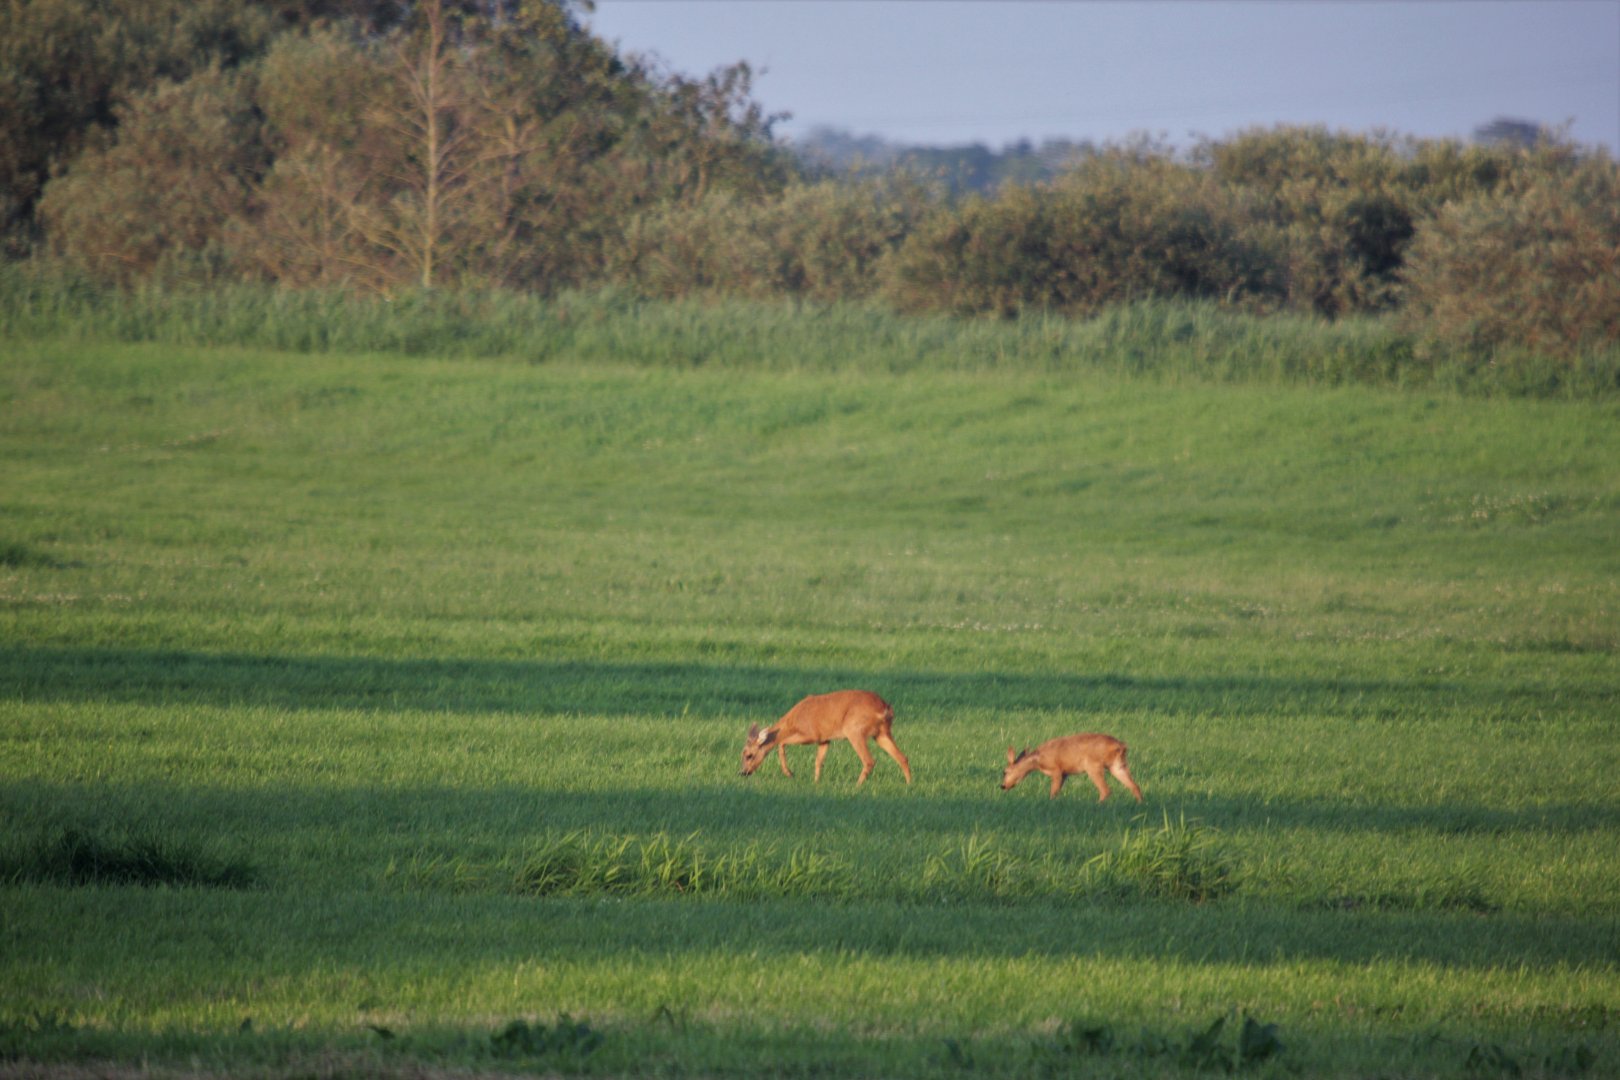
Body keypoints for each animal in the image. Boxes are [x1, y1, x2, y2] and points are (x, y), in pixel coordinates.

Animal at [740, 689, 912, 786]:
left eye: (749, 755)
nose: (742, 772)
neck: (793, 721)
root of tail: (885, 708)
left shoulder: (811, 734)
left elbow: (781, 742)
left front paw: (789, 773)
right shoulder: (824, 739)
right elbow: (819, 761)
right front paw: (816, 782)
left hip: (854, 730)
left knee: (869, 760)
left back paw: (856, 786)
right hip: (881, 733)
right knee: (902, 757)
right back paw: (910, 784)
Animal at [1000, 733, 1143, 802]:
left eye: (1005, 772)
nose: (1003, 786)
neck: (1038, 760)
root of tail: (1121, 746)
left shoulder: (1057, 770)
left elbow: (1053, 793)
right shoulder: (1065, 773)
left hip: (1093, 765)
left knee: (1105, 790)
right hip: (1117, 765)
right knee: (1135, 786)